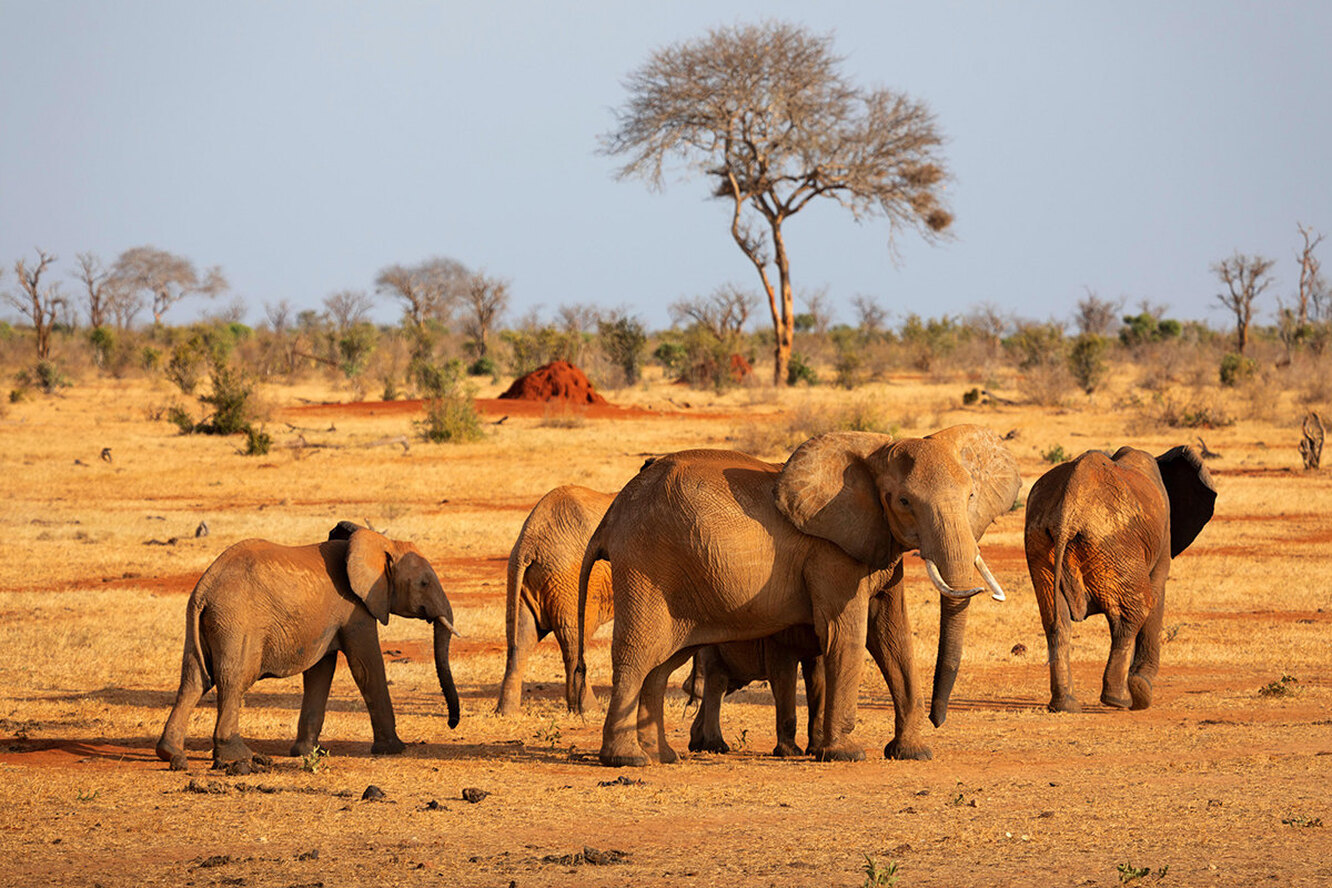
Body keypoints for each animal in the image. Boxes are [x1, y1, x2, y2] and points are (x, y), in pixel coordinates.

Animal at [157, 527, 463, 772]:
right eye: (424, 583)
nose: (451, 724)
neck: (379, 542)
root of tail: (204, 589)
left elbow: (320, 672)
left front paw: (309, 752)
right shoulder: (355, 609)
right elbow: (366, 668)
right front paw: (394, 749)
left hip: (204, 623)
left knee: (194, 679)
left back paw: (172, 755)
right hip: (236, 621)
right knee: (233, 679)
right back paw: (239, 756)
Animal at [495, 487, 612, 713]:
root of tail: (529, 541)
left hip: (524, 579)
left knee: (520, 638)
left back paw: (506, 713)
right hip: (571, 580)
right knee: (575, 642)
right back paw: (589, 709)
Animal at [687, 625, 820, 756]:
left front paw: (814, 750)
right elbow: (782, 674)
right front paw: (791, 753)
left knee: (729, 683)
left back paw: (698, 744)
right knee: (719, 679)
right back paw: (717, 747)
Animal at [1017, 447, 1220, 713]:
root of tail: (1068, 509)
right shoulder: (1163, 536)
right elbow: (1157, 593)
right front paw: (1141, 686)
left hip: (1041, 541)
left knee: (1056, 620)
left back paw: (1066, 705)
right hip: (1115, 543)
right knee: (1133, 613)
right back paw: (1122, 699)